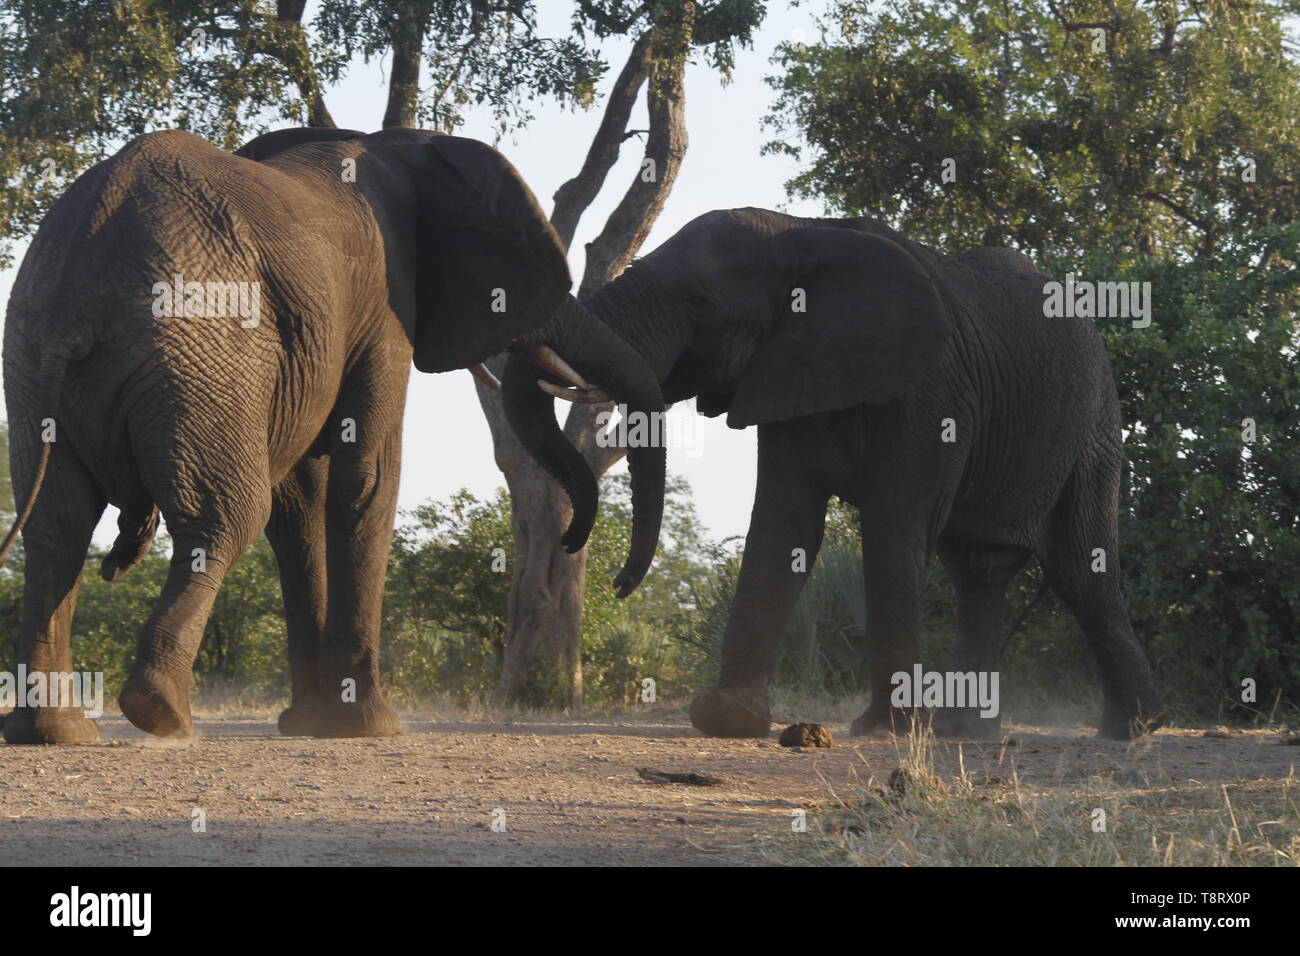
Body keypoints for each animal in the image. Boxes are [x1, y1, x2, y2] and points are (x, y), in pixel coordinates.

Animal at [0, 123, 613, 743]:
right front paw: (368, 728)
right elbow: (367, 476)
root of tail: (74, 297)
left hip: (30, 356)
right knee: (227, 515)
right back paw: (159, 712)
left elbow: (299, 504)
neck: (394, 144)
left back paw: (55, 732)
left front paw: (310, 723)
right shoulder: (386, 309)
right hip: (199, 349)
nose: (570, 541)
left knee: (57, 527)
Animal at [499, 208, 1170, 738]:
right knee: (978, 573)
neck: (798, 230)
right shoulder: (785, 371)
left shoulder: (931, 391)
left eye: (698, 303)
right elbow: (784, 525)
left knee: (1078, 568)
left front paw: (882, 731)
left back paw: (1130, 732)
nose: (614, 583)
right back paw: (967, 734)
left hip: (1094, 421)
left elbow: (892, 529)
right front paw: (728, 719)